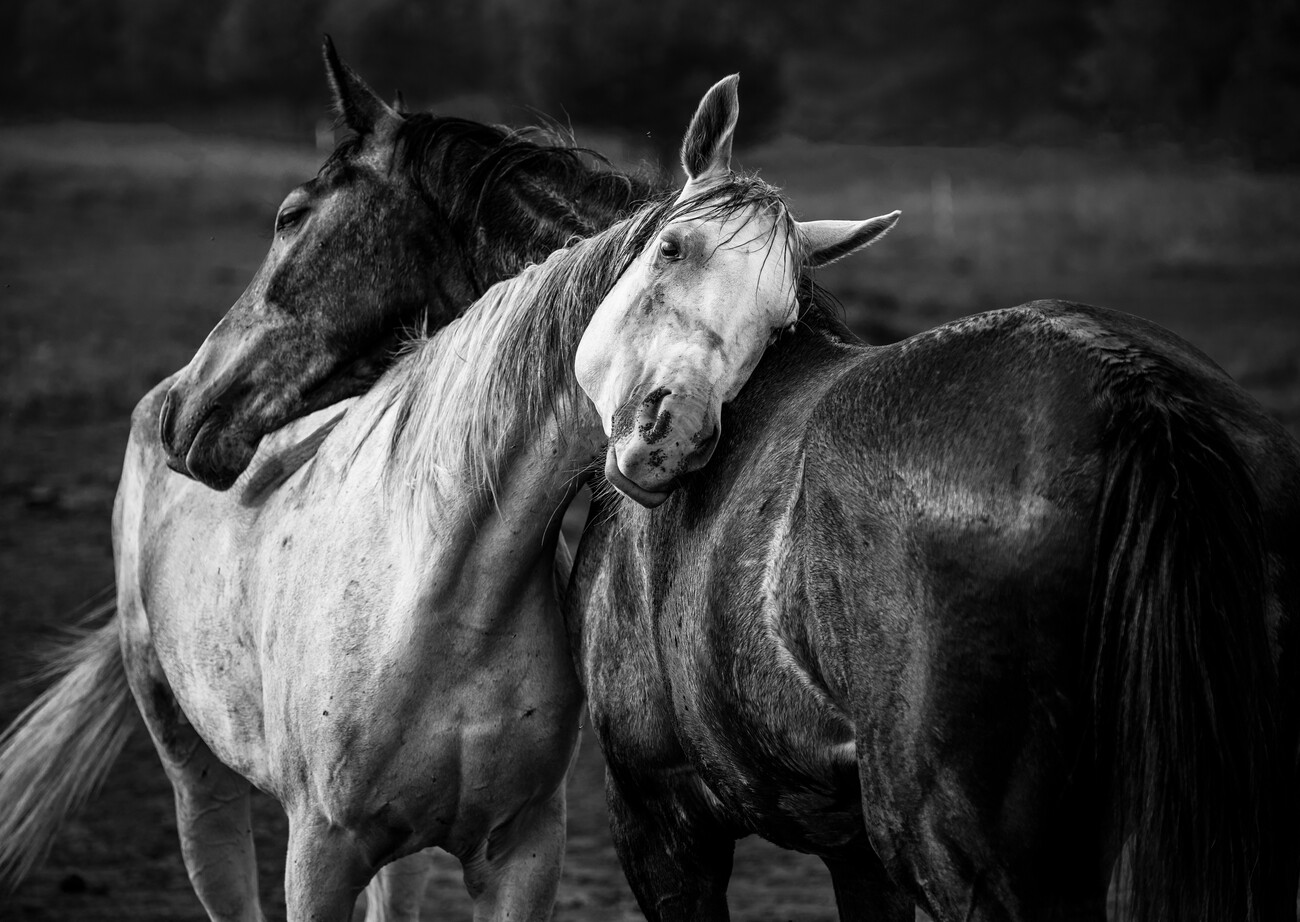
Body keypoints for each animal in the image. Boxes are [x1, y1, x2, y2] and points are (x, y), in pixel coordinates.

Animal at [569, 77, 1300, 920]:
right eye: (671, 248)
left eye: (778, 319)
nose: (677, 434)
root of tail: (1130, 384)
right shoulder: (853, 850)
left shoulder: (660, 821)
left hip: (947, 841)